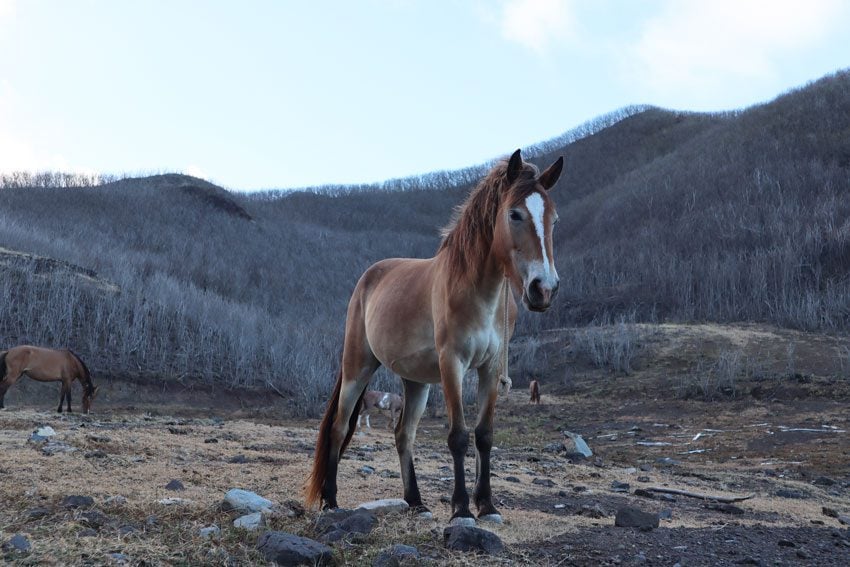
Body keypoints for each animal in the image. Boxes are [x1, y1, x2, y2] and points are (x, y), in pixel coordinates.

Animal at [304, 149, 564, 524]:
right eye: (514, 214)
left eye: (553, 219)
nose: (543, 289)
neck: (478, 291)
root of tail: (369, 277)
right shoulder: (451, 363)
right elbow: (458, 437)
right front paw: (461, 509)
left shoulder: (489, 370)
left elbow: (484, 436)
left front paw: (487, 506)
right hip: (357, 368)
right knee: (339, 428)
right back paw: (331, 500)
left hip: (416, 382)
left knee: (403, 435)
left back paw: (415, 501)